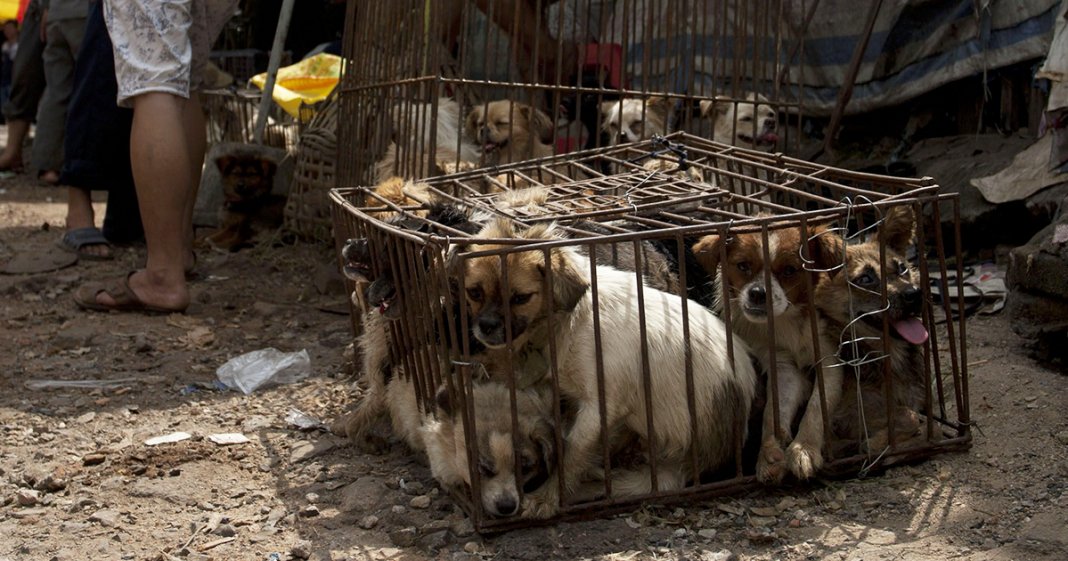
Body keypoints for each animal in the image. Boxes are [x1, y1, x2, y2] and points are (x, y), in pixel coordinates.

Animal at [815, 205, 935, 459]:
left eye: (902, 268)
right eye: (865, 279)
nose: (914, 294)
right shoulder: (842, 417)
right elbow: (910, 416)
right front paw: (876, 443)